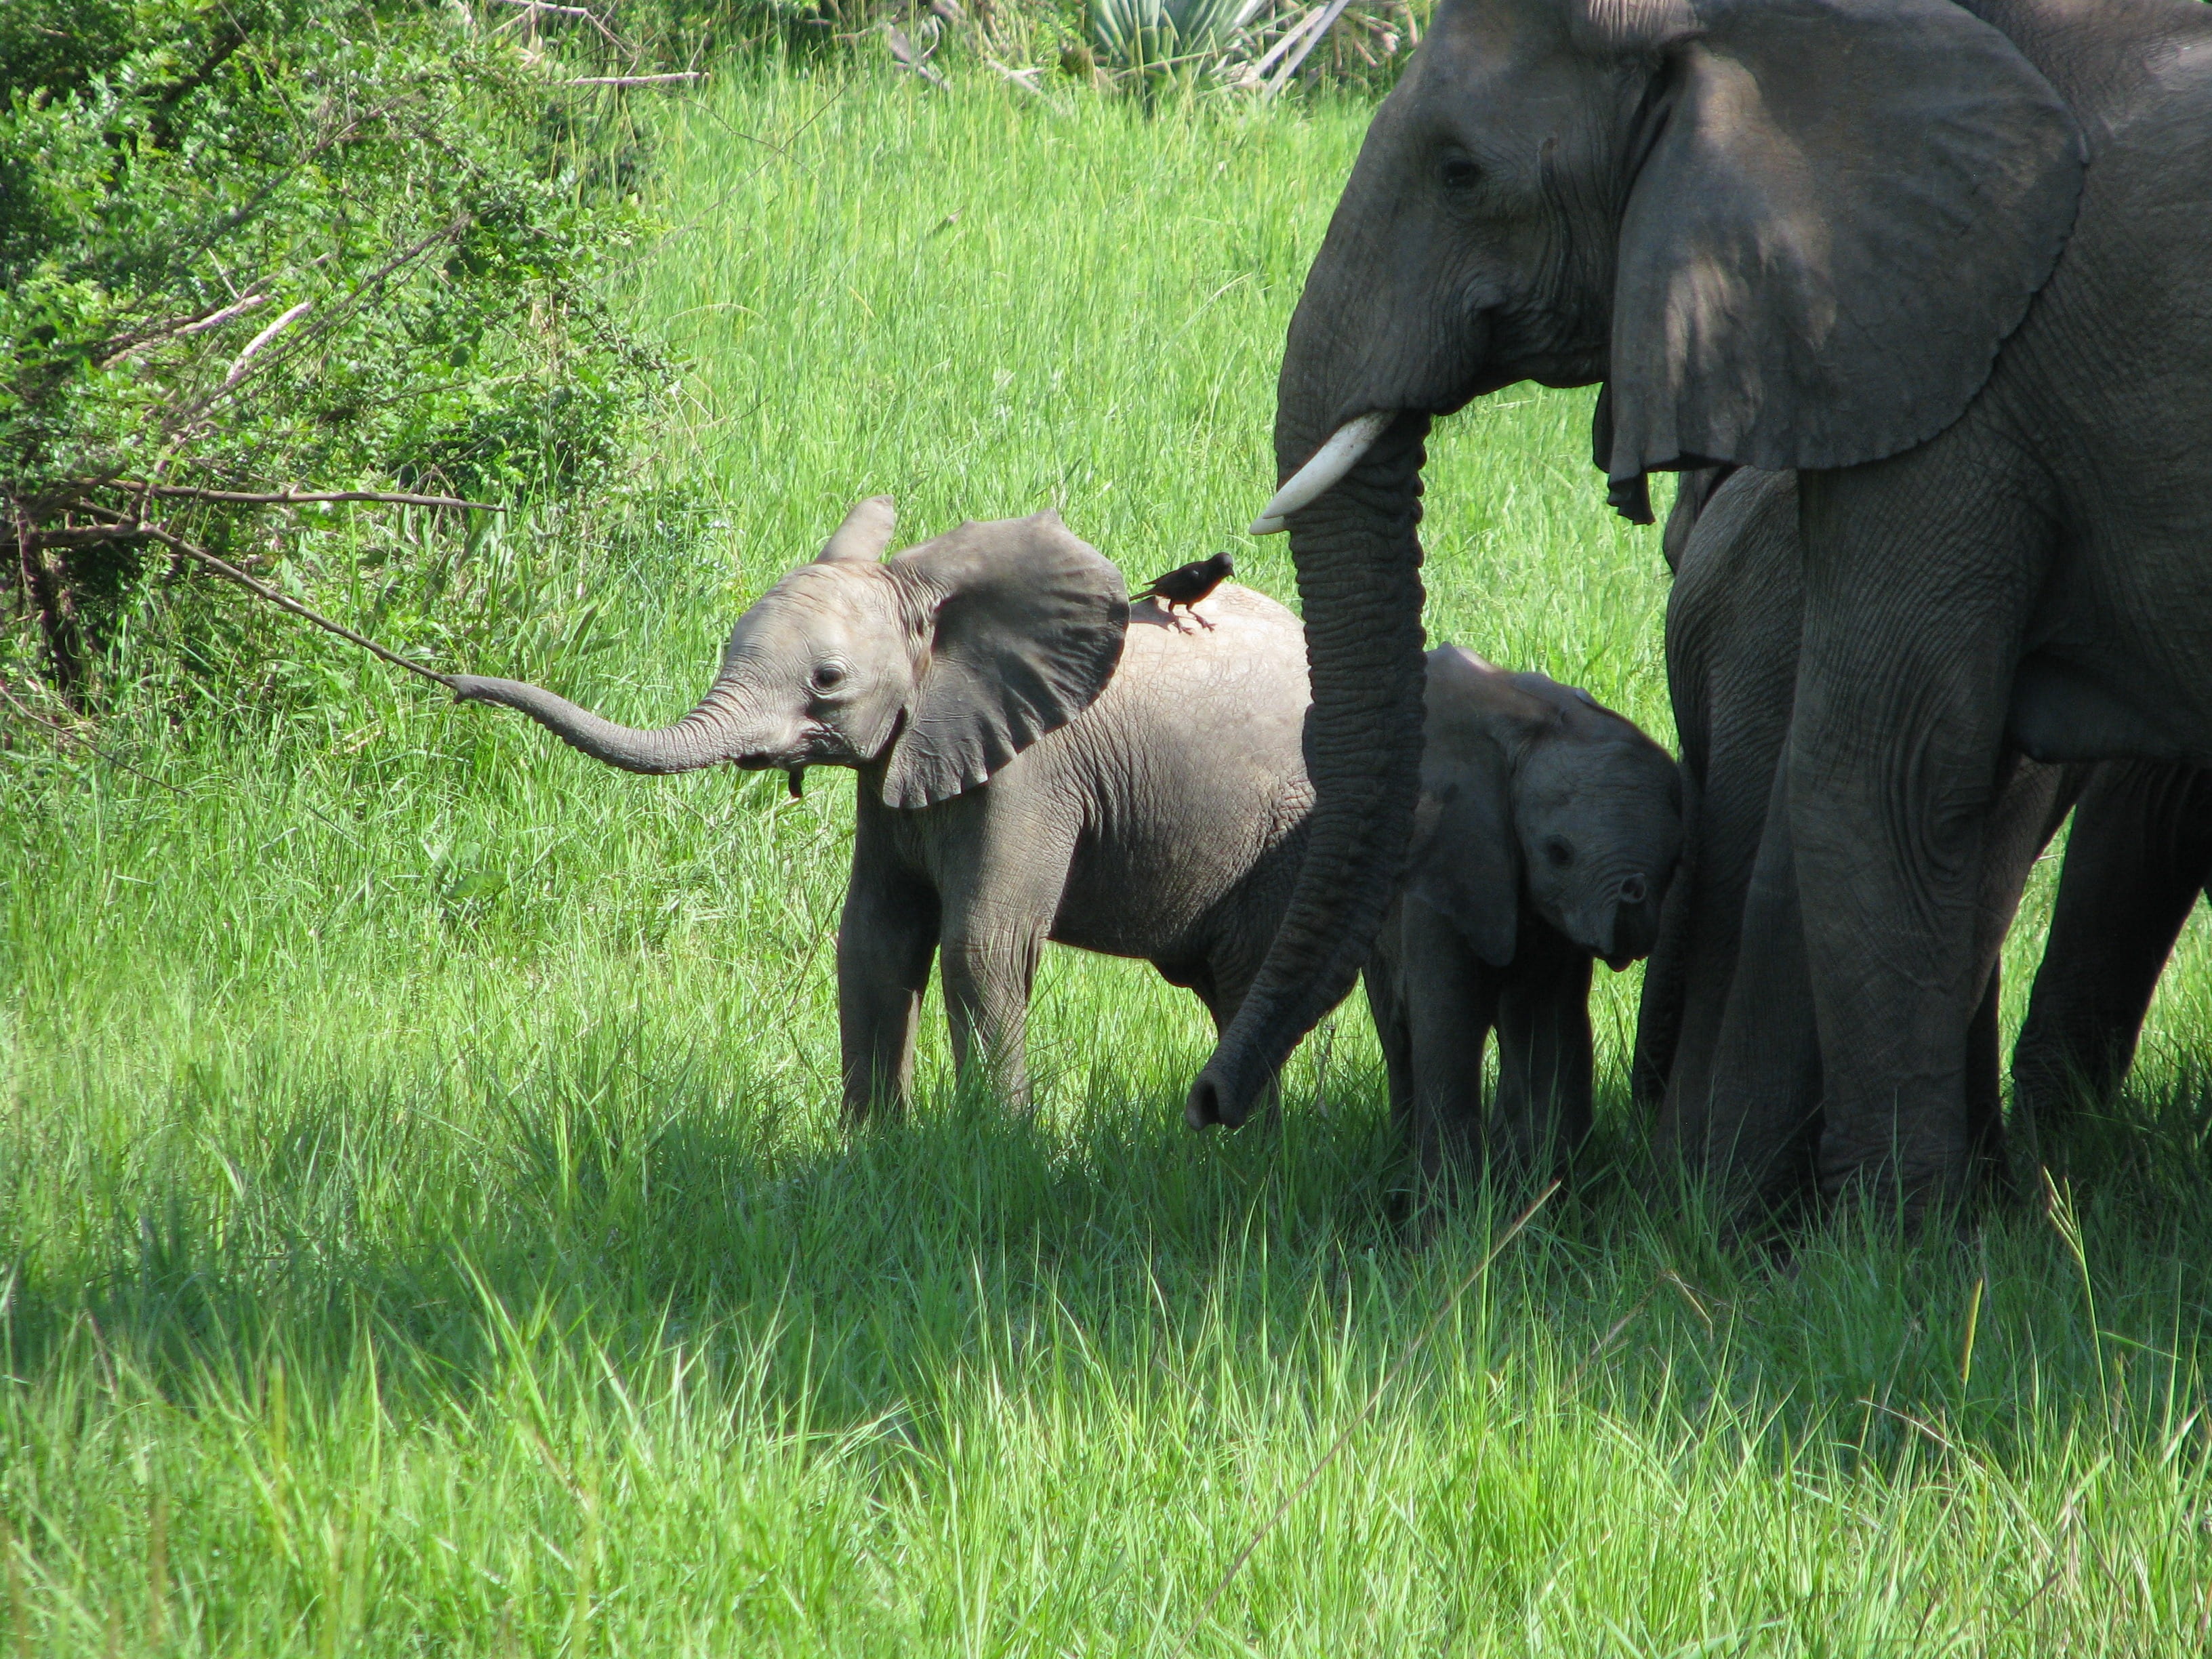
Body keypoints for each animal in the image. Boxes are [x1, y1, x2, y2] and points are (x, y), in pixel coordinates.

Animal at [450, 498, 1318, 1118]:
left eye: (828, 680)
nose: (456, 685)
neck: (931, 608)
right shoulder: (899, 768)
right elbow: (873, 938)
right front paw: (871, 1151)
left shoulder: (1034, 772)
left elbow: (983, 947)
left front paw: (999, 1145)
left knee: (1249, 979)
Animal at [1366, 645, 1680, 1192]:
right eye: (1558, 853)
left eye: (1676, 859)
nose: (1633, 896)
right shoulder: (1447, 864)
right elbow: (1448, 1021)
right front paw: (1451, 1211)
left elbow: (1547, 1028)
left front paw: (1538, 1199)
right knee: (1398, 1029)